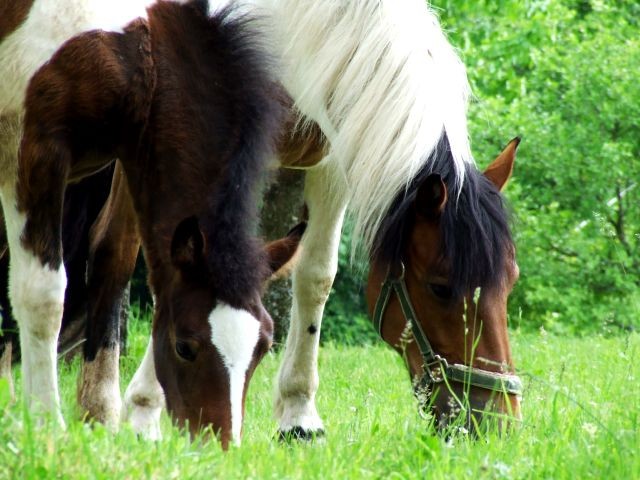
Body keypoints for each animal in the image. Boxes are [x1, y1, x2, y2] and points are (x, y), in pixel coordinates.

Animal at [0, 0, 304, 450]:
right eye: (184, 346)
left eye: (263, 347)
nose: (218, 445)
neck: (132, 47)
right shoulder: (34, 152)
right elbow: (43, 296)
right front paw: (44, 425)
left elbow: (112, 259)